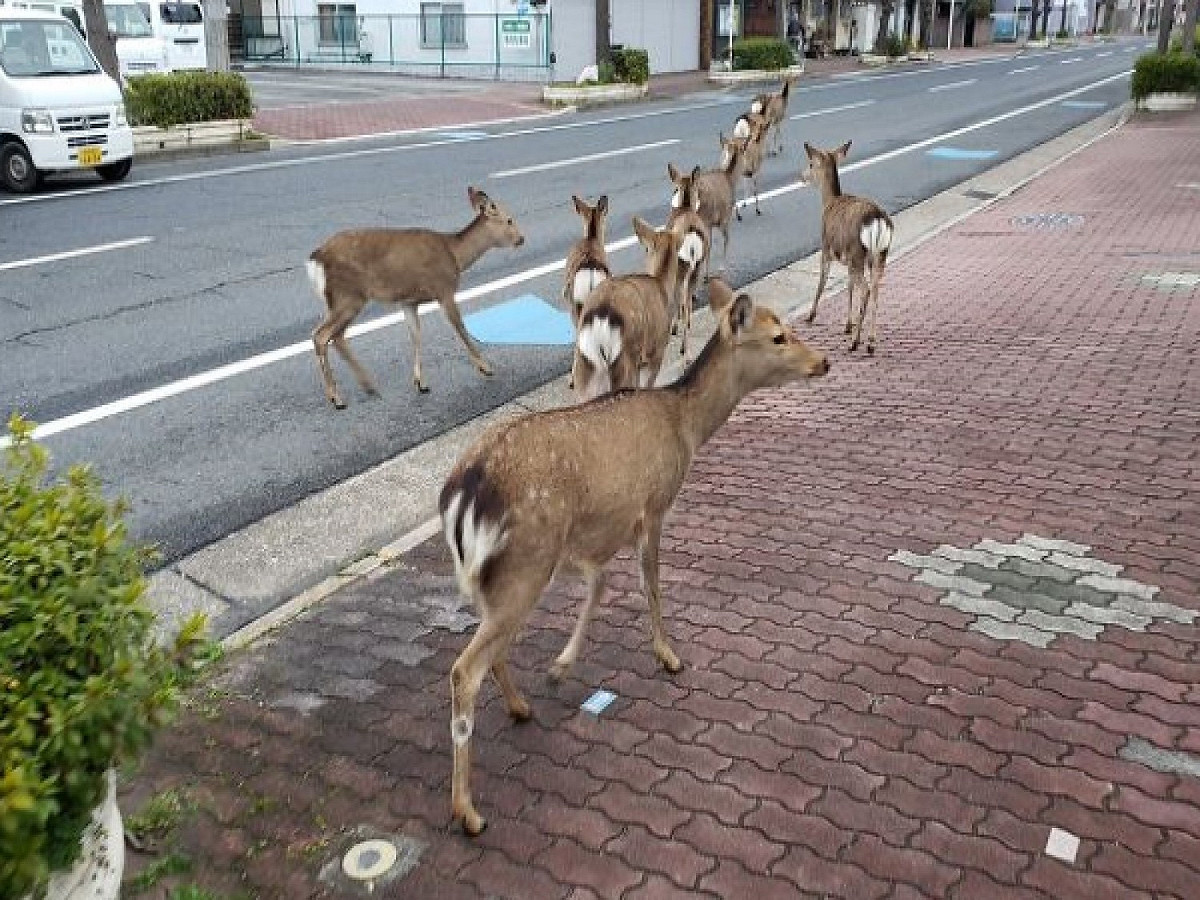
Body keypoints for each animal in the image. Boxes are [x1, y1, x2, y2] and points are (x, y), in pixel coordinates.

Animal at [307, 186, 525, 407]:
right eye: (509, 220)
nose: (521, 239)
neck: (455, 255)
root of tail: (317, 258)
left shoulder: (409, 301)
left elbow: (416, 335)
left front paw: (421, 383)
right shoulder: (443, 289)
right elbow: (460, 327)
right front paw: (486, 367)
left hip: (341, 299)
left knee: (337, 336)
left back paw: (369, 387)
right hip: (348, 295)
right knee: (321, 335)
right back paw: (337, 398)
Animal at [439, 277, 831, 836]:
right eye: (778, 336)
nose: (823, 362)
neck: (685, 426)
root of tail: (463, 494)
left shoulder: (602, 526)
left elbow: (600, 585)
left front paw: (561, 666)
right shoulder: (654, 505)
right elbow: (651, 583)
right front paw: (668, 656)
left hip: (495, 577)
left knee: (491, 649)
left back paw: (521, 707)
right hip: (526, 565)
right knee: (464, 670)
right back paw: (468, 811)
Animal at [570, 216, 703, 401]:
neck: (662, 285)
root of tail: (601, 316)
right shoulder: (656, 352)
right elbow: (648, 385)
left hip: (586, 368)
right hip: (625, 363)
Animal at [801, 141, 894, 355]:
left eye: (811, 163)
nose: (801, 176)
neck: (828, 203)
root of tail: (878, 219)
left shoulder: (825, 248)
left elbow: (821, 282)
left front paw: (810, 316)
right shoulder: (848, 261)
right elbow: (849, 287)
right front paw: (847, 325)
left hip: (858, 253)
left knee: (866, 290)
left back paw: (855, 343)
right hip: (879, 255)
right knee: (875, 289)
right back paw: (870, 342)